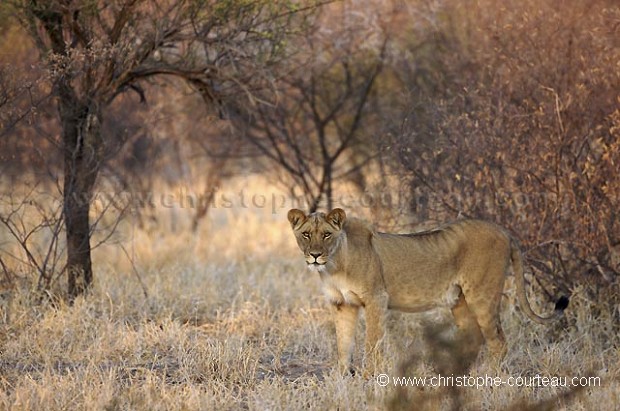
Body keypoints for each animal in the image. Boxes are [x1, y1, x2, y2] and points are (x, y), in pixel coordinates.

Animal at [288, 208, 568, 374]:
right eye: (306, 234)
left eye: (326, 235)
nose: (315, 255)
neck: (335, 265)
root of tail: (503, 230)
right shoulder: (342, 304)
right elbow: (343, 344)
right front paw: (343, 378)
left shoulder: (376, 299)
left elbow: (371, 343)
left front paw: (368, 378)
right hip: (459, 300)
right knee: (474, 337)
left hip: (482, 294)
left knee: (498, 341)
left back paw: (490, 378)